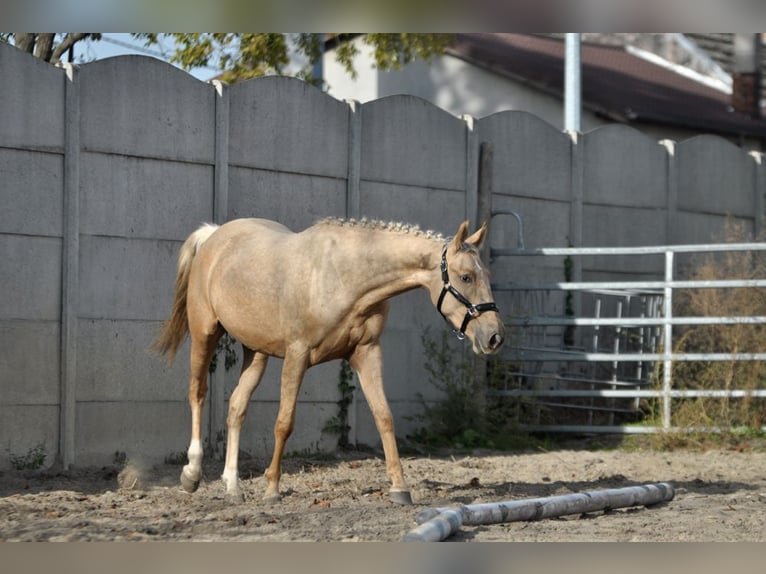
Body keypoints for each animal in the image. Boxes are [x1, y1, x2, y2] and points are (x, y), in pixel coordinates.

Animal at [153, 218, 508, 506]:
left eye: (487, 275)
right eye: (465, 277)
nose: (494, 337)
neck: (344, 276)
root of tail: (214, 236)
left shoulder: (367, 353)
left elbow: (384, 417)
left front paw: (399, 488)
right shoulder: (297, 355)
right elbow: (284, 423)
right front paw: (272, 489)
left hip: (256, 352)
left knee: (237, 407)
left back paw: (232, 486)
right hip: (205, 333)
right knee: (197, 393)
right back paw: (192, 474)